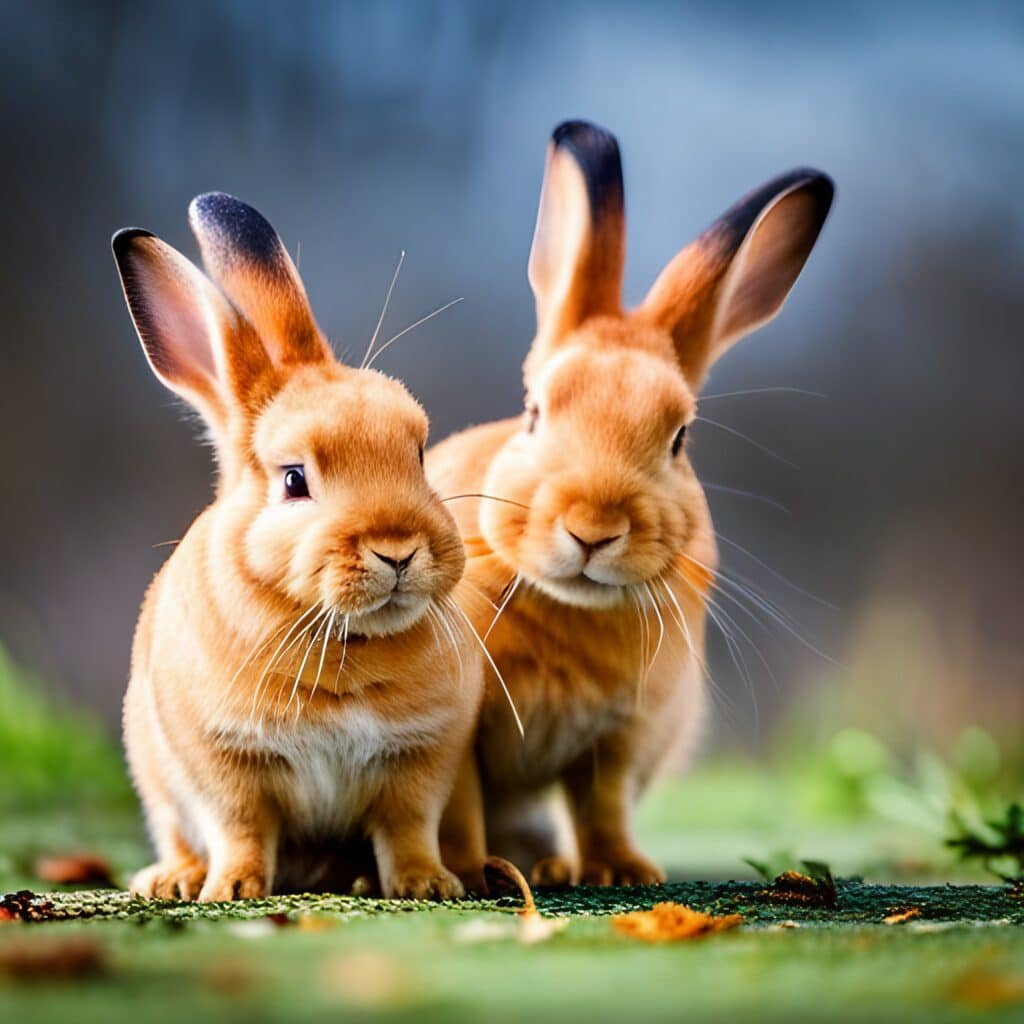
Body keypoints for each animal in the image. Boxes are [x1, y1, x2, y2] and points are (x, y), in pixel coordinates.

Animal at [113, 192, 487, 901]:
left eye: (418, 454)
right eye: (294, 480)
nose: (398, 550)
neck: (342, 635)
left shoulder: (422, 761)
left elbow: (408, 829)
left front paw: (426, 885)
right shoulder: (222, 761)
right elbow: (239, 827)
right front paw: (233, 889)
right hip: (157, 784)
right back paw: (174, 880)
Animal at [429, 121, 833, 887]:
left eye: (680, 437)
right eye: (533, 411)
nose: (594, 529)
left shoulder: (622, 737)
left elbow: (602, 805)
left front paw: (620, 872)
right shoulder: (459, 735)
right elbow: (456, 800)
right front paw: (470, 870)